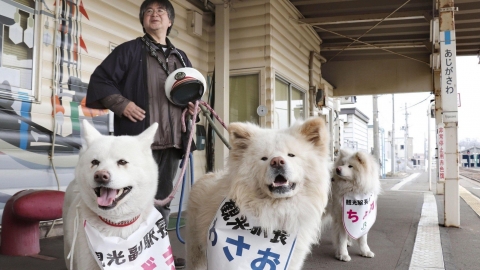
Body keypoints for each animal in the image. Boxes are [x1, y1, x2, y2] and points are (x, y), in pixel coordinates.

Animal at [186, 117, 332, 268]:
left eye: (291, 155)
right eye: (264, 158)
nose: (277, 161)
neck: (274, 213)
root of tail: (207, 175)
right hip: (195, 250)